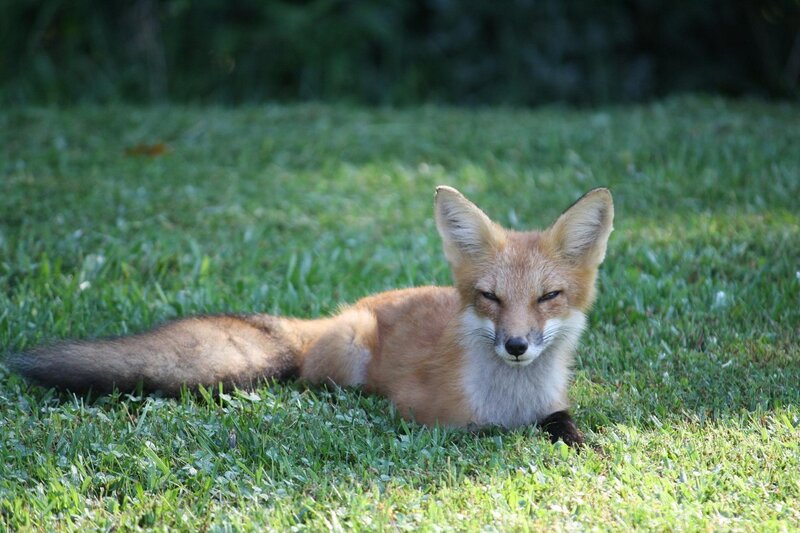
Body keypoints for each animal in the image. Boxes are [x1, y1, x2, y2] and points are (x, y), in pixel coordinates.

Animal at [10, 186, 613, 447]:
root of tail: (336, 314)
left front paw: (582, 445)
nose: (516, 345)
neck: (511, 397)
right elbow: (484, 432)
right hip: (347, 359)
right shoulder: (424, 414)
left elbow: (563, 424)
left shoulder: (552, 404)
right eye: (490, 297)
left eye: (548, 296)